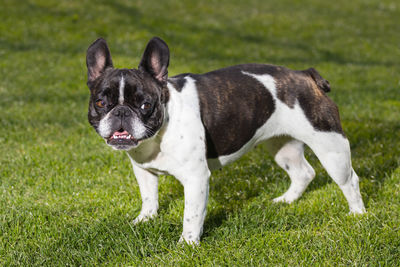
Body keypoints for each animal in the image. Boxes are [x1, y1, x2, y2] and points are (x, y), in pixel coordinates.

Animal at [85, 36, 366, 246]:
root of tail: (305, 75)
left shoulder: (196, 178)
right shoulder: (143, 170)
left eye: (145, 105)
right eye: (100, 103)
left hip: (331, 147)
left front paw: (187, 244)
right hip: (283, 146)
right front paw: (145, 219)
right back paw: (285, 201)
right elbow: (149, 197)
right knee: (303, 173)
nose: (121, 112)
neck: (161, 129)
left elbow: (191, 215)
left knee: (349, 180)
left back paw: (357, 215)